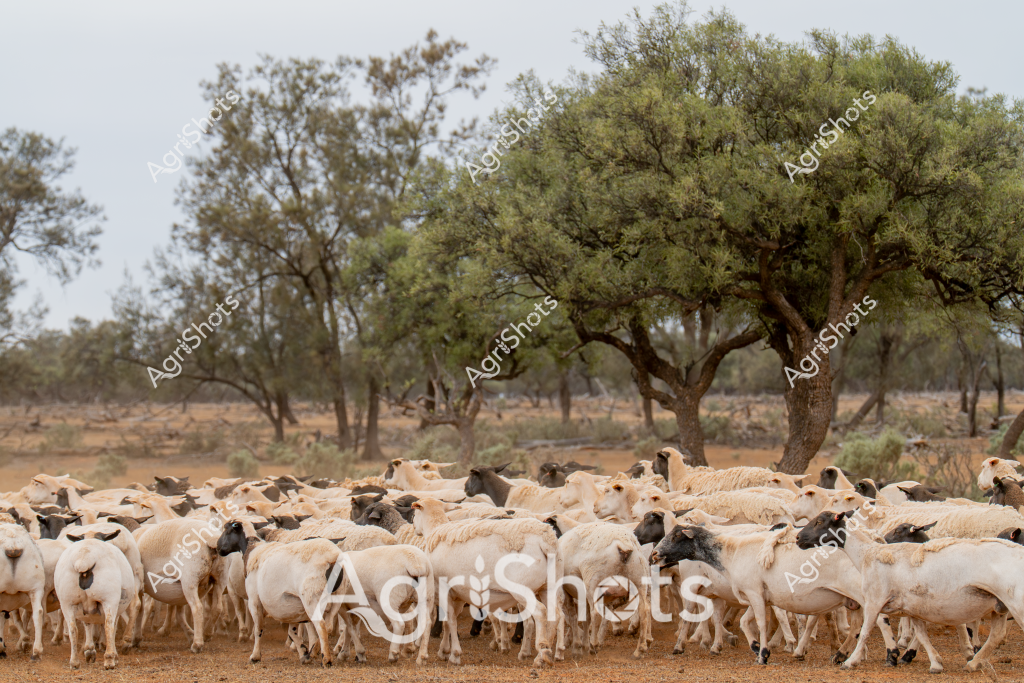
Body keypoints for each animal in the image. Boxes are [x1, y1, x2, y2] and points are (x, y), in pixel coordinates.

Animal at [54, 533, 136, 669]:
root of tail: (84, 557)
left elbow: (88, 624)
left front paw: (89, 650)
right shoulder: (116, 607)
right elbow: (112, 627)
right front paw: (113, 655)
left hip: (66, 601)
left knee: (73, 628)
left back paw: (74, 662)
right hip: (109, 598)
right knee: (108, 625)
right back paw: (109, 660)